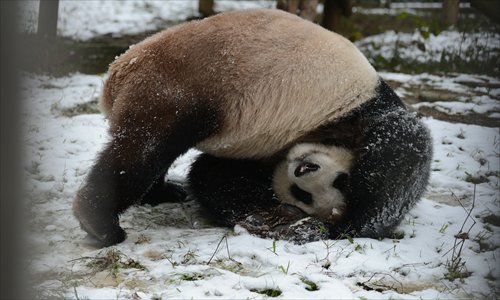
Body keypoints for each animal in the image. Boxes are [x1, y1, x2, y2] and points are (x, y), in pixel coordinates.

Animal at [72, 8, 432, 248]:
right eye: (340, 180)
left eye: (302, 195)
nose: (305, 168)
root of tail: (115, 77)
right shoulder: (358, 113)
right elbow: (398, 154)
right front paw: (344, 223)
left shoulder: (262, 157)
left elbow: (214, 177)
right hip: (176, 85)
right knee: (144, 150)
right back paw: (101, 223)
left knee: (147, 149)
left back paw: (160, 193)